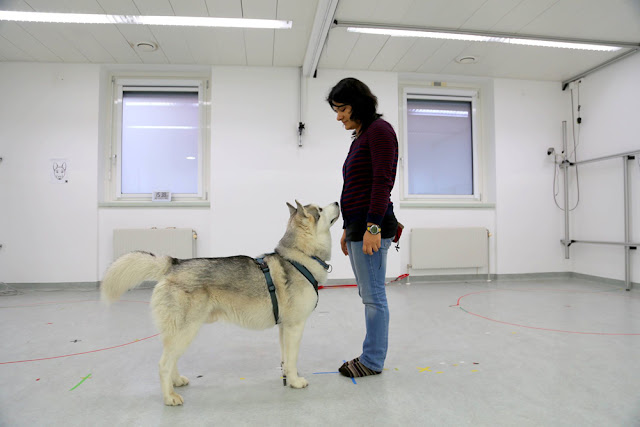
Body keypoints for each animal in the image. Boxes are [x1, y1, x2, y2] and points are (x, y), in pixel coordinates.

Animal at [101, 202, 340, 406]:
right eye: (320, 209)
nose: (337, 202)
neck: (300, 257)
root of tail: (174, 264)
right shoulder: (294, 326)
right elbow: (292, 360)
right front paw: (295, 381)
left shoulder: (283, 327)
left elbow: (284, 358)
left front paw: (286, 377)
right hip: (186, 330)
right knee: (163, 364)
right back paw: (169, 397)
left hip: (180, 332)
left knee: (171, 358)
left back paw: (176, 381)